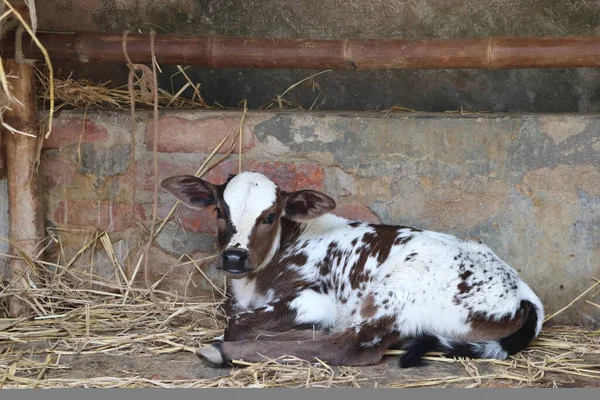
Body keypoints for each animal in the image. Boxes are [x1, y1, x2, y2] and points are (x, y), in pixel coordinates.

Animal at [162, 170, 548, 368]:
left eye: (270, 216)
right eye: (218, 211)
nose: (234, 257)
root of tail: (525, 297)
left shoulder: (314, 298)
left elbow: (237, 324)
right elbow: (233, 314)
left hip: (396, 292)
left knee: (350, 345)